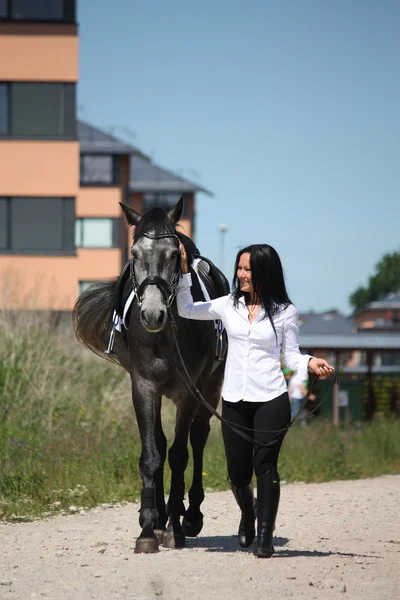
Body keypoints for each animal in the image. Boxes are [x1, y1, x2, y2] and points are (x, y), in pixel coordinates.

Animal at [72, 199, 228, 556]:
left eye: (172, 254)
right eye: (134, 253)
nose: (153, 314)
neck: (165, 333)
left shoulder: (188, 393)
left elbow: (180, 456)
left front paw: (176, 529)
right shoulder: (143, 386)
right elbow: (152, 455)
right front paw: (147, 528)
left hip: (210, 388)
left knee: (197, 438)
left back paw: (189, 516)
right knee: (160, 441)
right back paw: (159, 517)